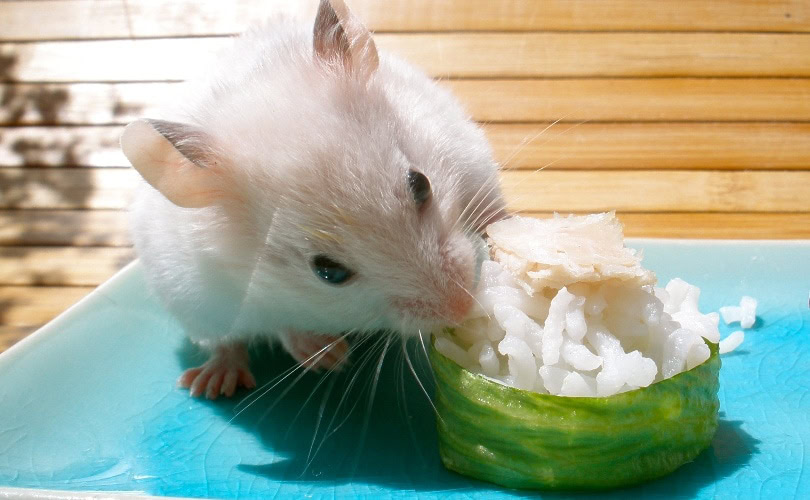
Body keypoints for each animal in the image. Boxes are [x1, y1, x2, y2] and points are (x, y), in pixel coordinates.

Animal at [121, 0, 507, 399]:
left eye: (421, 184)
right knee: (226, 345)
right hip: (193, 307)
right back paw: (211, 384)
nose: (463, 305)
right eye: (328, 272)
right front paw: (331, 357)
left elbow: (495, 213)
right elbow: (280, 324)